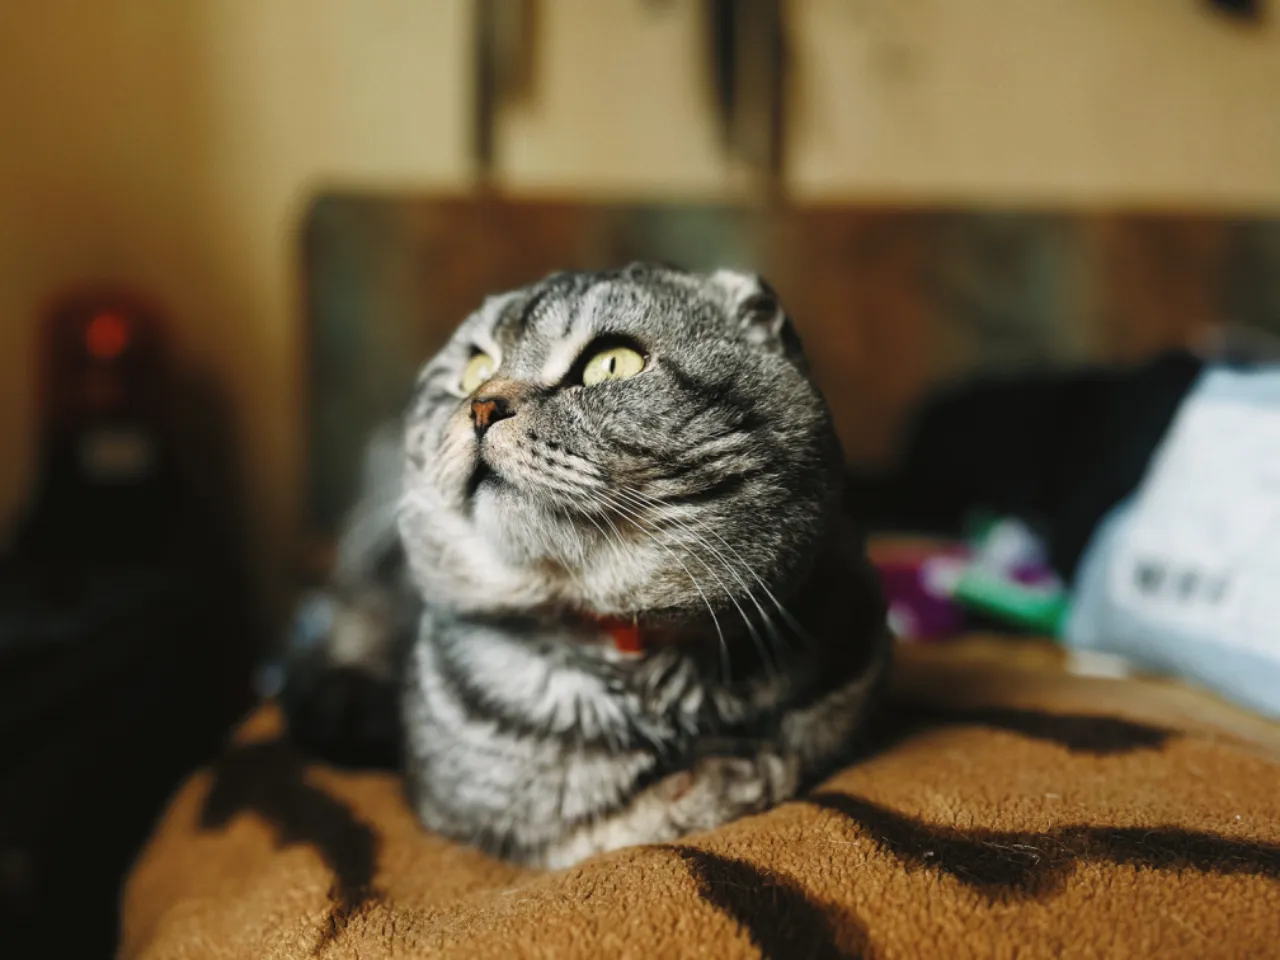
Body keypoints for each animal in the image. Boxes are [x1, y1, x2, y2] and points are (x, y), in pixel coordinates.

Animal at [281, 264, 890, 870]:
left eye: (612, 363)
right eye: (474, 370)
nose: (481, 406)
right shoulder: (475, 813)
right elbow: (607, 826)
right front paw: (727, 777)